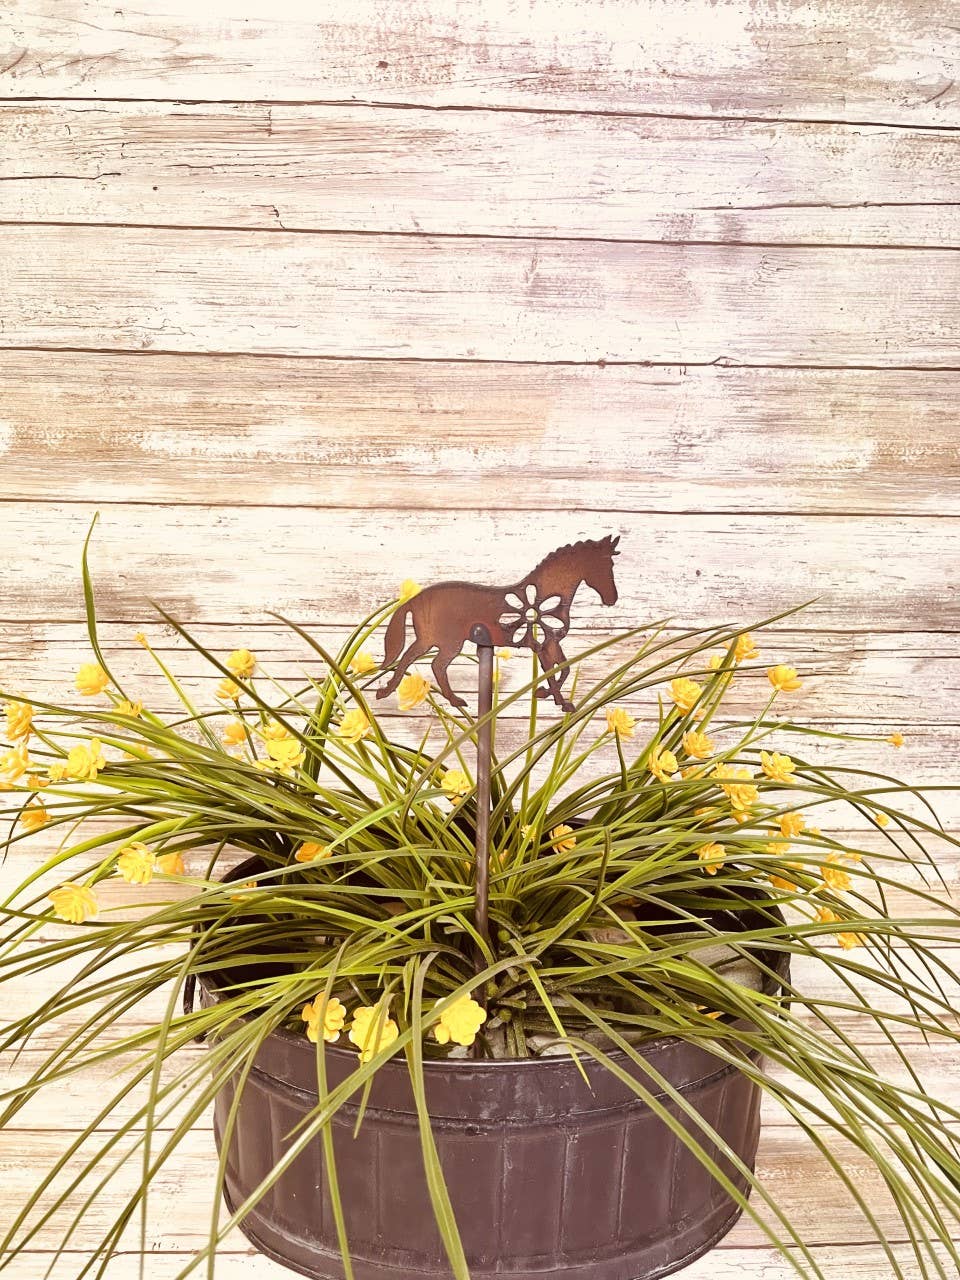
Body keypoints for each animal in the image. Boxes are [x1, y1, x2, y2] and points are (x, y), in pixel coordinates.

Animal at [376, 535, 621, 712]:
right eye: (604, 565)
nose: (612, 599)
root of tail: (415, 599)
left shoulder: (552, 642)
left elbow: (564, 669)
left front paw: (554, 698)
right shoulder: (544, 644)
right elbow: (553, 671)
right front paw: (553, 697)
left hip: (430, 640)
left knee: (415, 659)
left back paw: (388, 690)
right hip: (446, 641)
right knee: (432, 664)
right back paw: (451, 700)